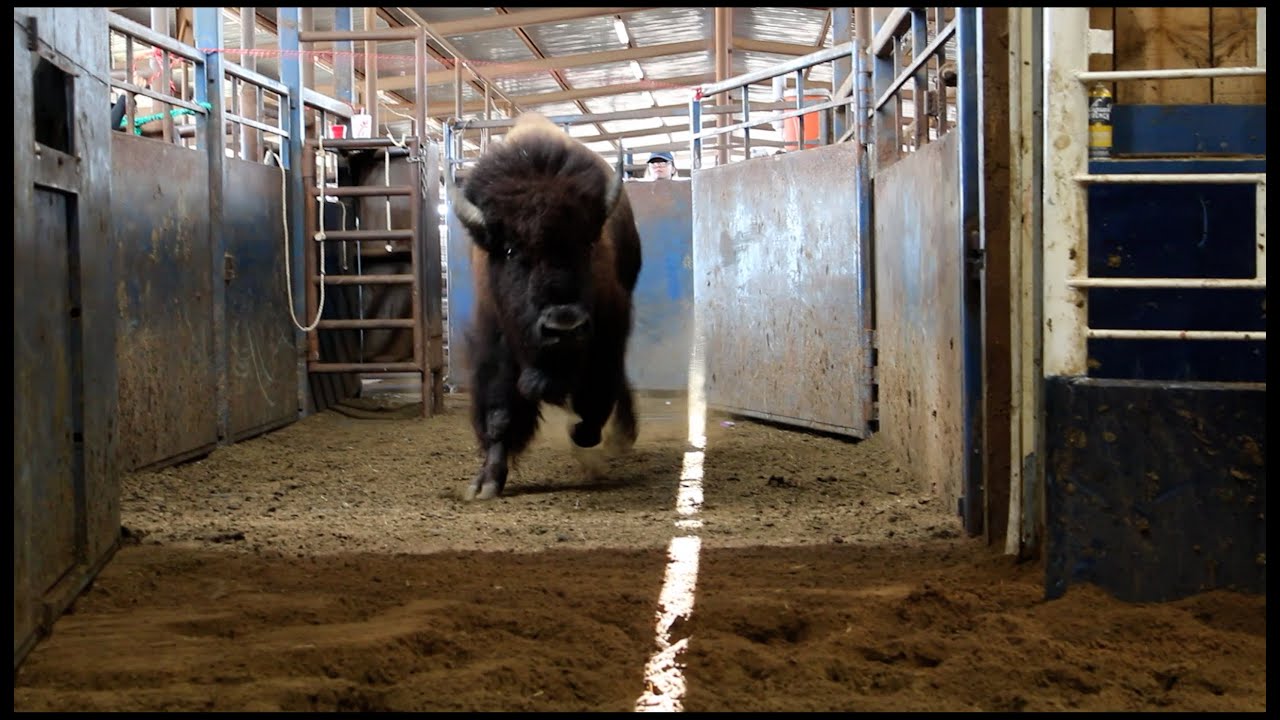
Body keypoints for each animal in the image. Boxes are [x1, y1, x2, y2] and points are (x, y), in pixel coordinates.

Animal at [449, 112, 643, 501]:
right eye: (510, 250)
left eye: (587, 244)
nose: (563, 324)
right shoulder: (495, 339)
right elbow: (500, 414)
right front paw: (485, 484)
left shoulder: (607, 333)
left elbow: (595, 400)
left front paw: (583, 437)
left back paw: (619, 437)